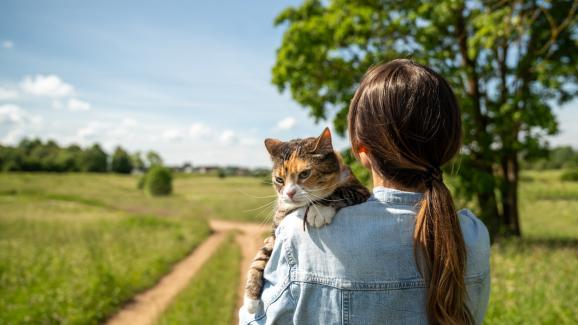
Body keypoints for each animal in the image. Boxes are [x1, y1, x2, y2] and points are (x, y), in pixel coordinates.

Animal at [242, 126, 368, 312]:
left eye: (305, 174)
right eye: (279, 179)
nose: (289, 193)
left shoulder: (361, 190)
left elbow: (339, 192)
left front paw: (318, 211)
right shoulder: (277, 229)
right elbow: (260, 256)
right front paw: (250, 299)